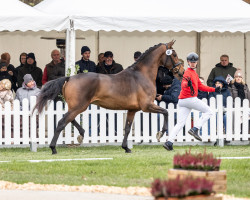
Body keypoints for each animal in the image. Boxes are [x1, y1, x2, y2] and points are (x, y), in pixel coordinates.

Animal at [33, 39, 184, 154]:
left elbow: (127, 128)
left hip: (76, 106)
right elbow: (166, 112)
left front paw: (126, 148)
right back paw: (54, 148)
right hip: (79, 106)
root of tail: (69, 78)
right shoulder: (147, 106)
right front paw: (161, 133)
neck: (142, 75)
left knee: (68, 119)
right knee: (62, 122)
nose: (181, 72)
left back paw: (81, 134)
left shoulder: (132, 110)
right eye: (174, 54)